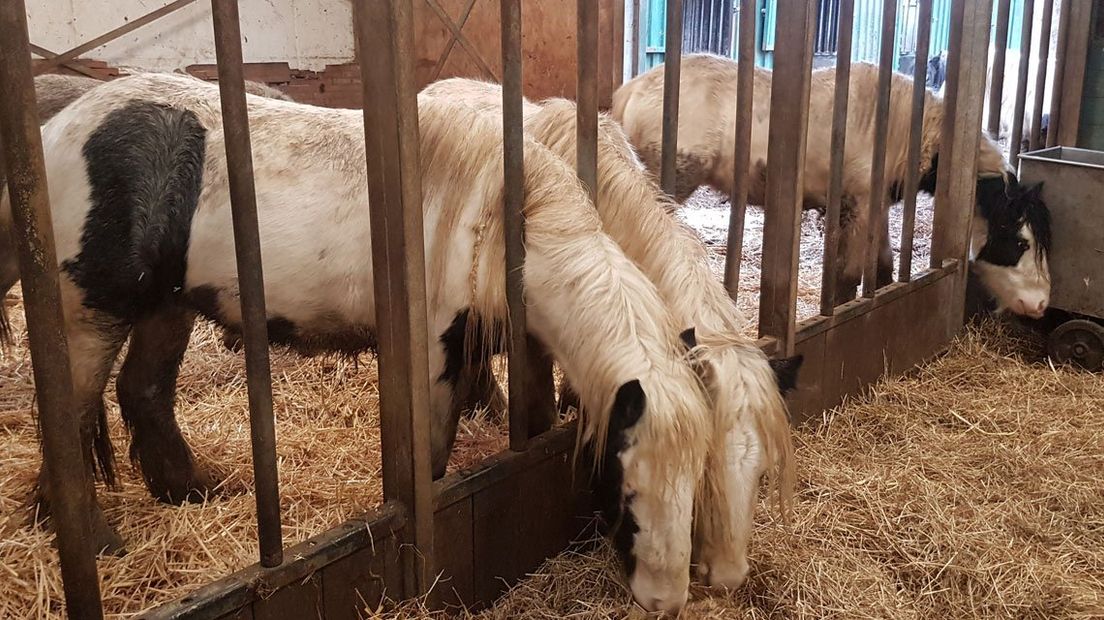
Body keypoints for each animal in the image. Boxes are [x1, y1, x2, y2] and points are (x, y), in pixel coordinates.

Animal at [0, 72, 719, 613]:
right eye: (630, 486)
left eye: (697, 484)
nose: (667, 598)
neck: (494, 217)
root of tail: (55, 131)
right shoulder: (434, 353)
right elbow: (433, 458)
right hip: (90, 317)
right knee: (70, 422)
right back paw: (97, 542)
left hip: (166, 305)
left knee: (144, 391)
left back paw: (194, 490)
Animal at [613, 53, 1051, 317]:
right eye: (1018, 241)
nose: (1041, 304)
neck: (902, 128)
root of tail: (633, 89)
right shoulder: (854, 206)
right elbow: (848, 275)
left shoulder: (874, 206)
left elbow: (882, 268)